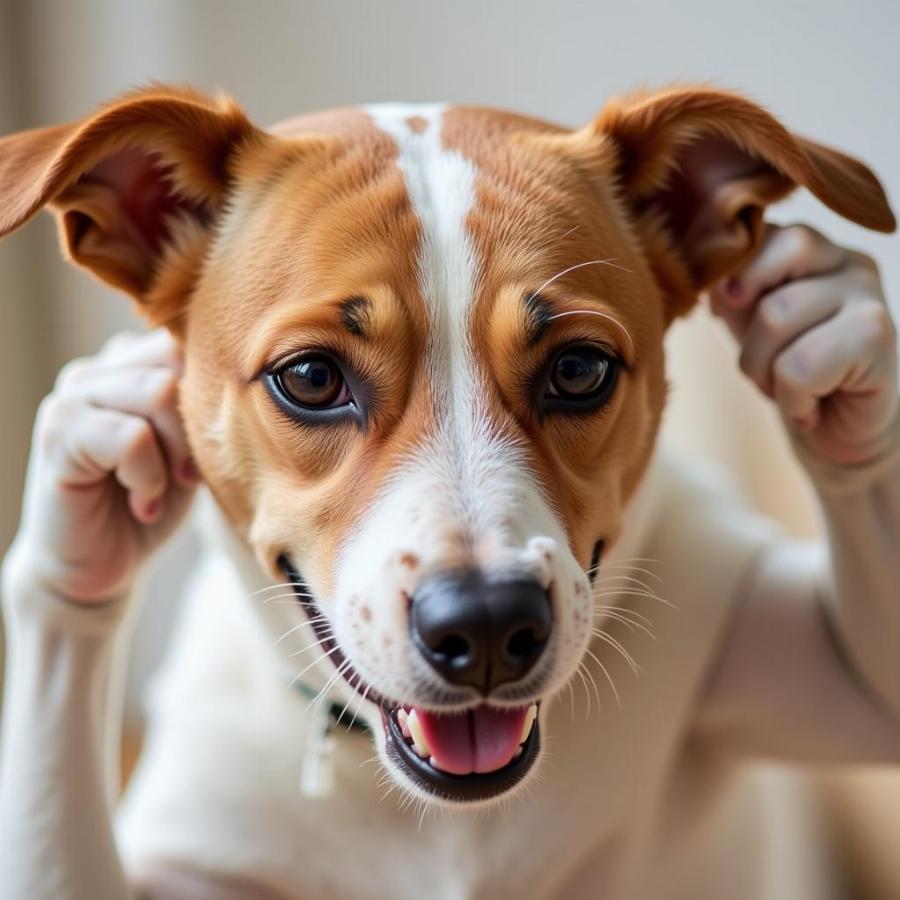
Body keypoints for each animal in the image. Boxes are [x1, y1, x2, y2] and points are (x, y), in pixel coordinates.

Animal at [1, 84, 900, 900]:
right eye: (311, 377)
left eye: (579, 369)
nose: (489, 625)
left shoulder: (731, 611)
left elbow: (864, 672)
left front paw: (825, 326)